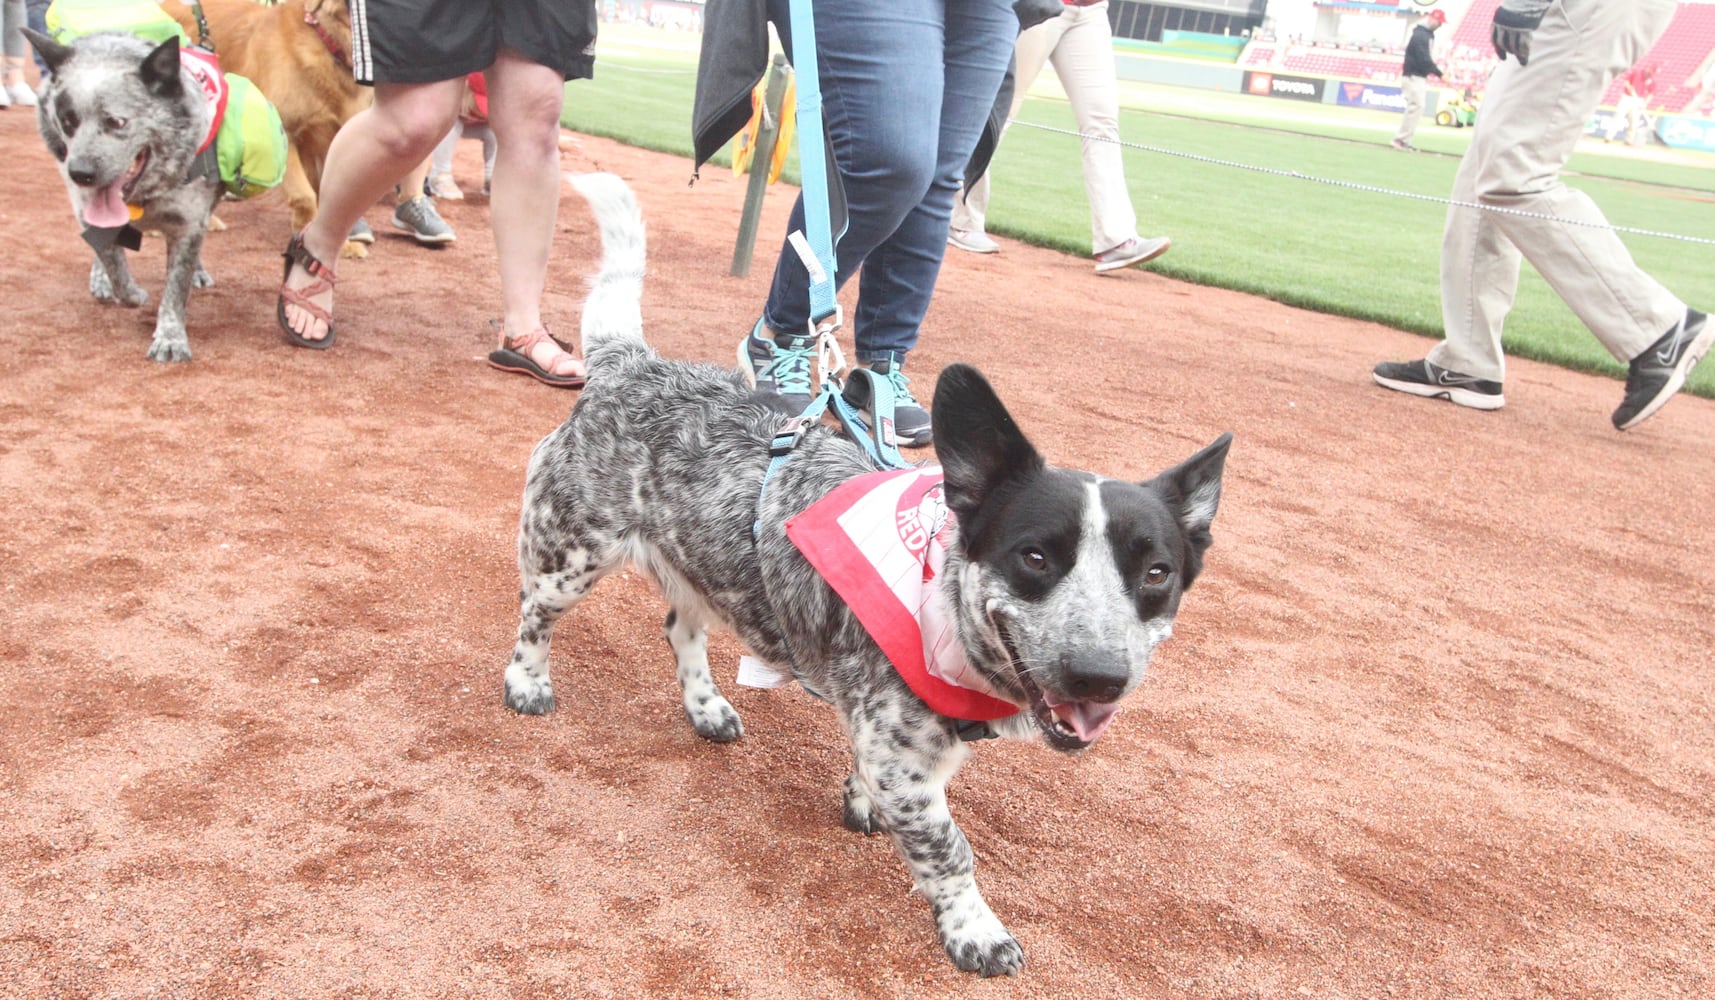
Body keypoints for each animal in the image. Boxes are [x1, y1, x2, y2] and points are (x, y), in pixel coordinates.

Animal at [500, 174, 1241, 981]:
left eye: (1156, 572)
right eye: (1035, 557)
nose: (1099, 676)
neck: (934, 592)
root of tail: (631, 362)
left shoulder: (901, 747)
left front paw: (861, 807)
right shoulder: (904, 756)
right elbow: (951, 851)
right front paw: (975, 931)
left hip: (698, 566)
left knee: (680, 625)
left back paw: (706, 707)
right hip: (570, 555)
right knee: (535, 616)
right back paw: (528, 684)